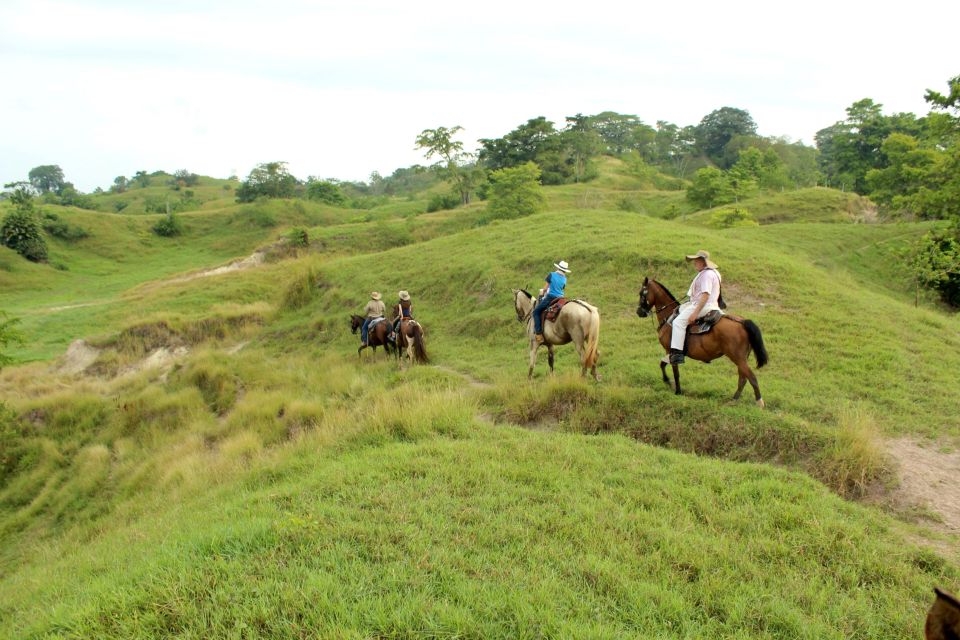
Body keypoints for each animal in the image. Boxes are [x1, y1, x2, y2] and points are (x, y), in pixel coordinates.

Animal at [632, 278, 768, 408]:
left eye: (641, 293)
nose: (639, 312)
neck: (669, 316)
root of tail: (742, 322)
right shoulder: (669, 352)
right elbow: (662, 364)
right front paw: (668, 382)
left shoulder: (670, 351)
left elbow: (674, 371)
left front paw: (676, 389)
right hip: (741, 359)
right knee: (743, 378)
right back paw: (734, 400)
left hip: (738, 358)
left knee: (751, 377)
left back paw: (759, 402)